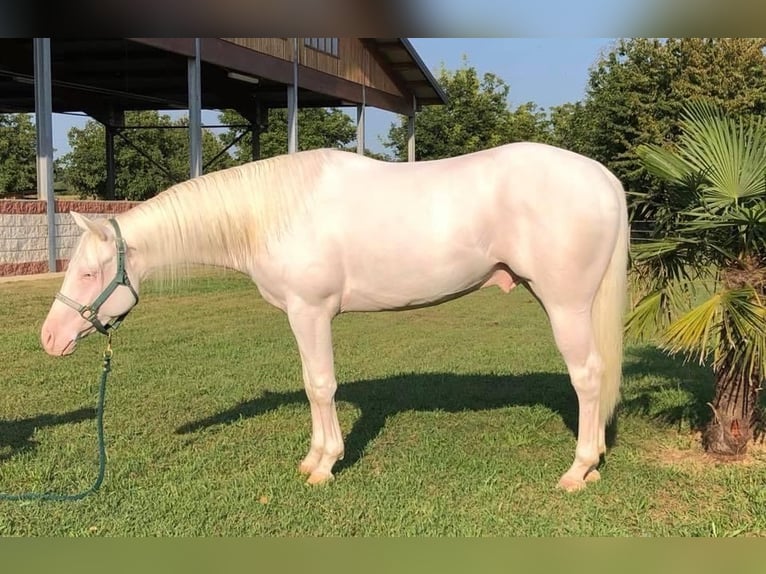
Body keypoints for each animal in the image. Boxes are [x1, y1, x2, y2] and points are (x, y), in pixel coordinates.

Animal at [42, 144, 628, 496]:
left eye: (90, 273)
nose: (50, 338)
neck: (273, 213)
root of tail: (603, 177)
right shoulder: (303, 316)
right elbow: (311, 383)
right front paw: (313, 458)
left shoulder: (311, 311)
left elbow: (321, 384)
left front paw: (325, 465)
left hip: (566, 306)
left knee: (588, 377)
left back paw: (578, 470)